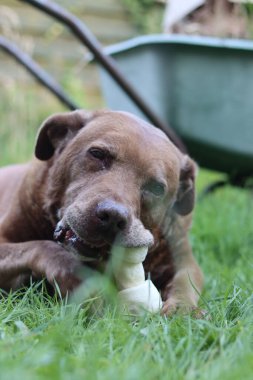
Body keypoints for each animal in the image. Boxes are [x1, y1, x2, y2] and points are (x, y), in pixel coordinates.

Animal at [0, 109, 203, 312]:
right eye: (97, 154)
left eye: (157, 188)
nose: (113, 217)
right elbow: (43, 247)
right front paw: (83, 282)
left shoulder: (184, 260)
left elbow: (185, 282)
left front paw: (183, 309)